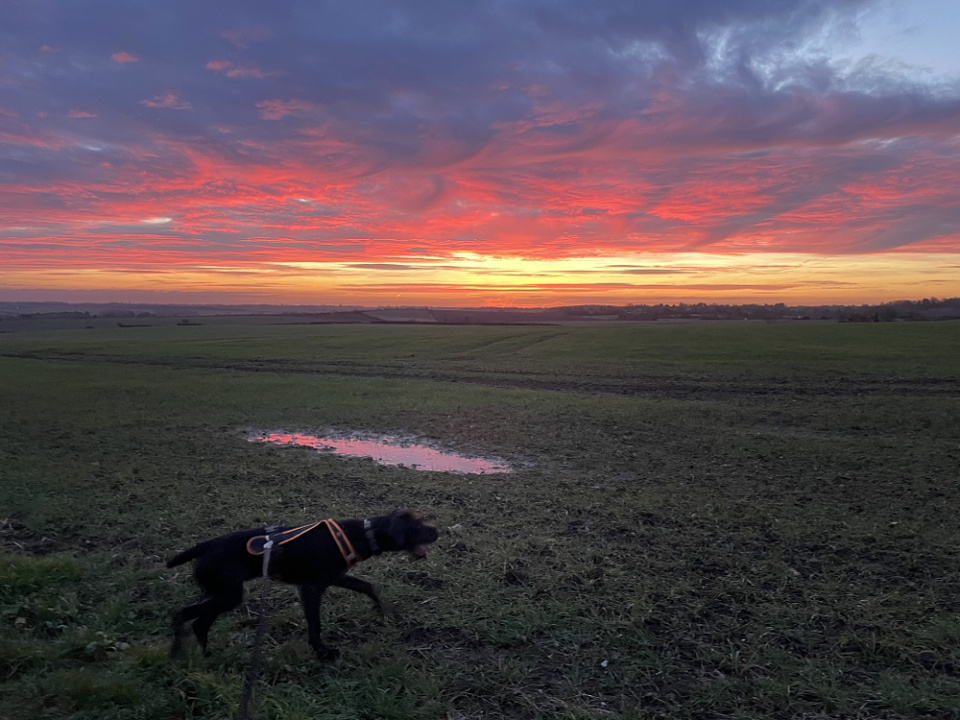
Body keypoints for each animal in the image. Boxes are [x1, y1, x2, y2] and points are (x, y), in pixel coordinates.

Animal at [169, 512, 438, 660]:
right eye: (417, 525)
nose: (437, 532)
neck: (359, 533)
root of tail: (204, 547)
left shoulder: (334, 577)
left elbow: (369, 586)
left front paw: (386, 610)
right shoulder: (311, 589)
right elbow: (315, 625)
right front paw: (322, 652)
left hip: (222, 594)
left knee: (200, 624)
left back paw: (207, 656)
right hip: (229, 595)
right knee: (180, 614)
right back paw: (177, 651)